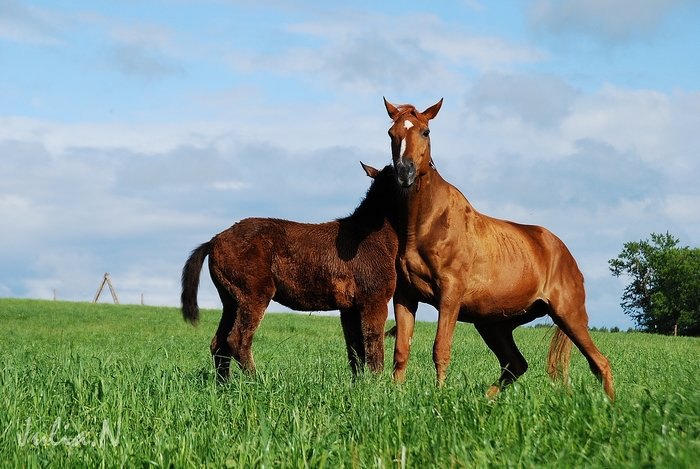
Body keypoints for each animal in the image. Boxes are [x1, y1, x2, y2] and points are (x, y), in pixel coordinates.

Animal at [182, 163, 400, 378]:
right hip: (253, 294)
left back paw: (224, 383)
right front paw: (376, 382)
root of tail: (214, 240)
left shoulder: (349, 308)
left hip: (230, 300)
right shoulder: (374, 301)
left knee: (218, 344)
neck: (372, 236)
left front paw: (359, 382)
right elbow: (374, 346)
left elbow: (355, 350)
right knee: (237, 340)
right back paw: (256, 380)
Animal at [382, 98, 612, 398]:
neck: (425, 225)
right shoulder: (405, 296)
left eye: (425, 132)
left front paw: (441, 395)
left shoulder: (450, 296)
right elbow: (401, 351)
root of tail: (567, 255)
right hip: (494, 324)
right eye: (392, 133)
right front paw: (395, 395)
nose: (404, 172)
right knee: (516, 364)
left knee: (600, 363)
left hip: (568, 315)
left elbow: (440, 349)